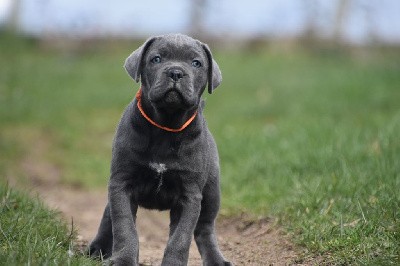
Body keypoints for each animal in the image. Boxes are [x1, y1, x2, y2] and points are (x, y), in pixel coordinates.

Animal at [87, 34, 231, 264]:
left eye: (196, 63)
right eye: (156, 59)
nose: (176, 72)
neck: (166, 126)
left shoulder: (190, 196)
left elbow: (180, 238)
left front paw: (173, 263)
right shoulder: (121, 184)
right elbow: (124, 227)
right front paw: (123, 259)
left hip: (211, 193)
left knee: (204, 229)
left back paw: (217, 260)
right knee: (109, 215)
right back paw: (98, 249)